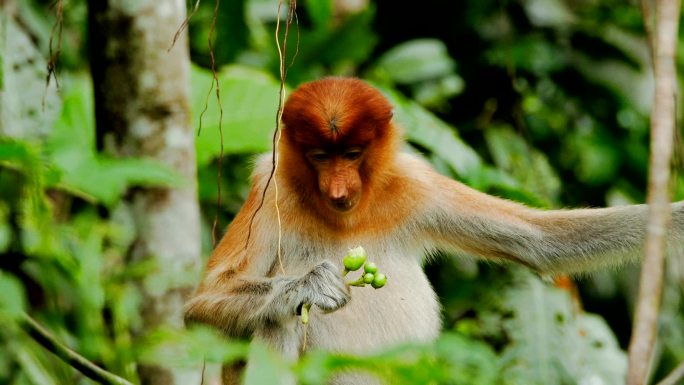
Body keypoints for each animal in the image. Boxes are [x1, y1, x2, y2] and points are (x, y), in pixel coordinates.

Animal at [183, 76, 684, 382]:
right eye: (320, 157)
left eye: (352, 154)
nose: (337, 189)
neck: (348, 214)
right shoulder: (271, 189)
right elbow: (202, 305)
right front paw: (311, 283)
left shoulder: (416, 186)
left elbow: (541, 243)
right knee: (279, 319)